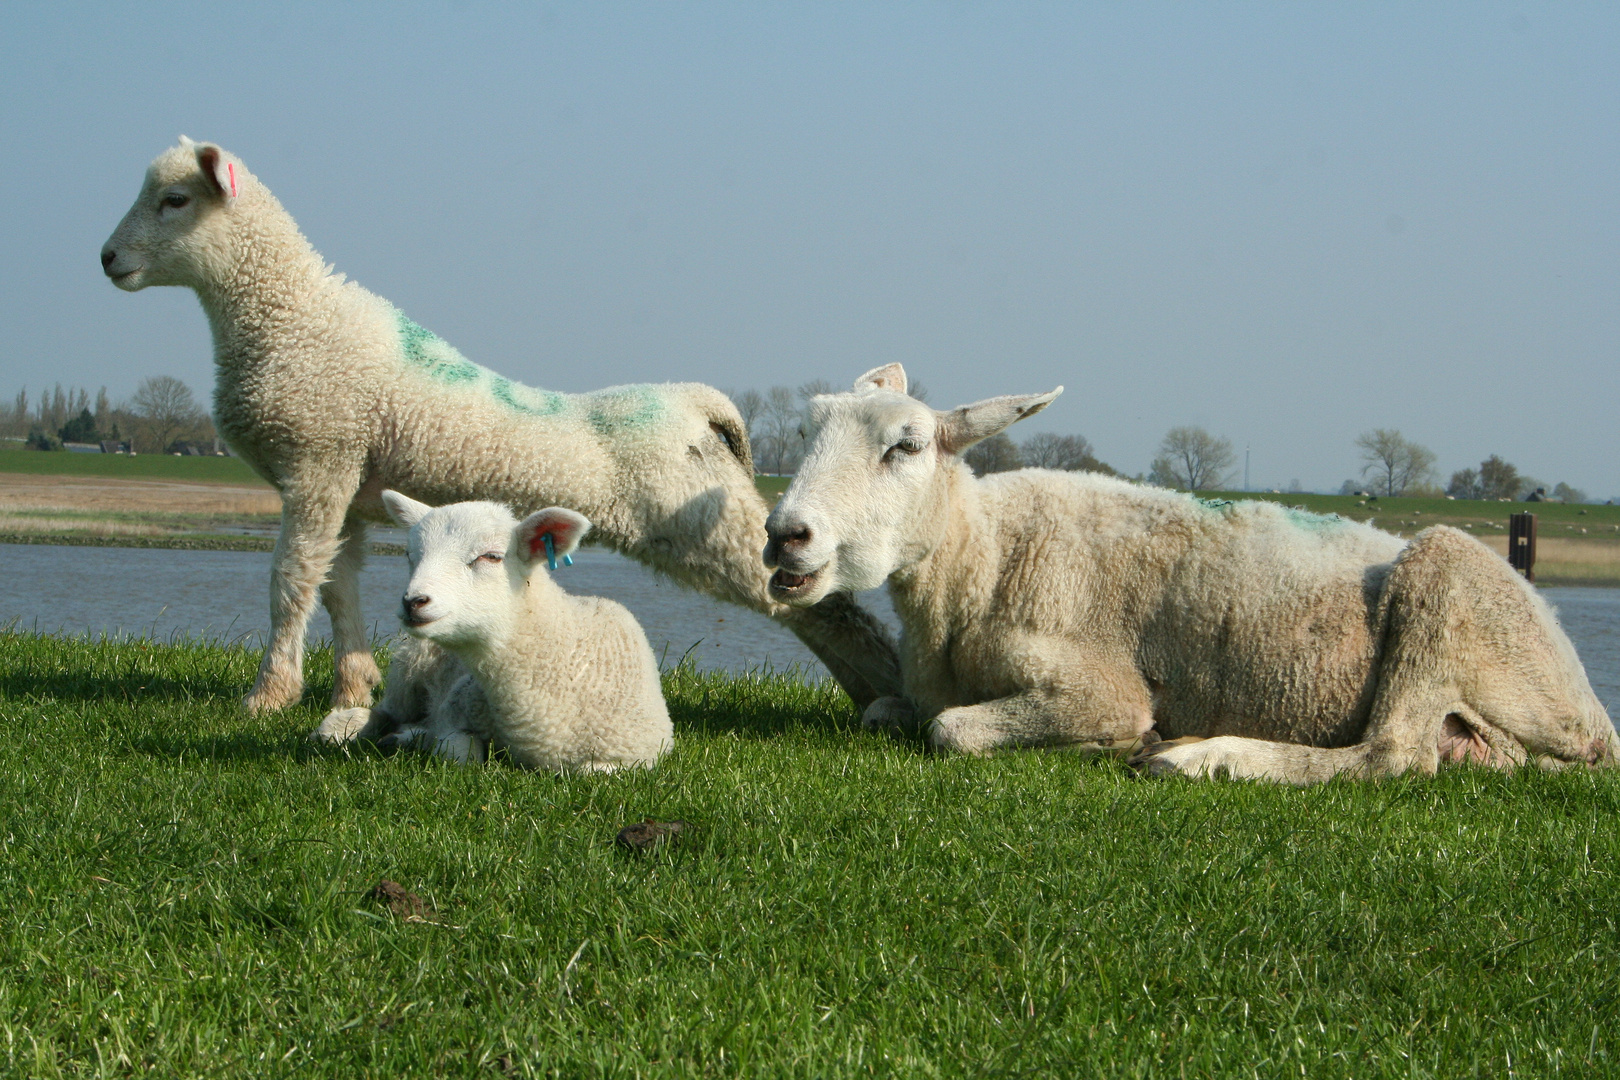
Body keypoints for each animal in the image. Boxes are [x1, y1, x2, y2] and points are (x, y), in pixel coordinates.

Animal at [101, 139, 900, 722]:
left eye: (175, 201)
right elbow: (337, 589)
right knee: (814, 607)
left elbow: (289, 583)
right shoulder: (343, 482)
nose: (107, 259)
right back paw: (877, 693)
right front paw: (352, 687)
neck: (288, 313)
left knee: (828, 605)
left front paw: (267, 696)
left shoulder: (316, 459)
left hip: (706, 525)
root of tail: (701, 406)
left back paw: (897, 692)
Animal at [315, 495, 670, 773]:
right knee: (386, 710)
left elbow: (591, 771)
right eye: (410, 556)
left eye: (491, 556)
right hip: (409, 669)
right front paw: (419, 740)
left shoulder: (639, 756)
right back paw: (343, 727)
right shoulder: (457, 709)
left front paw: (414, 738)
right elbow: (459, 754)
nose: (413, 601)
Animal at [761, 365, 1620, 786]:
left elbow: (951, 730)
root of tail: (1590, 711)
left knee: (1395, 754)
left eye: (905, 447)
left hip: (1446, 590)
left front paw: (1124, 742)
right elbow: (884, 713)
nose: (783, 535)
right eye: (804, 432)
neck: (981, 553)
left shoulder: (1099, 686)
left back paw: (1202, 757)